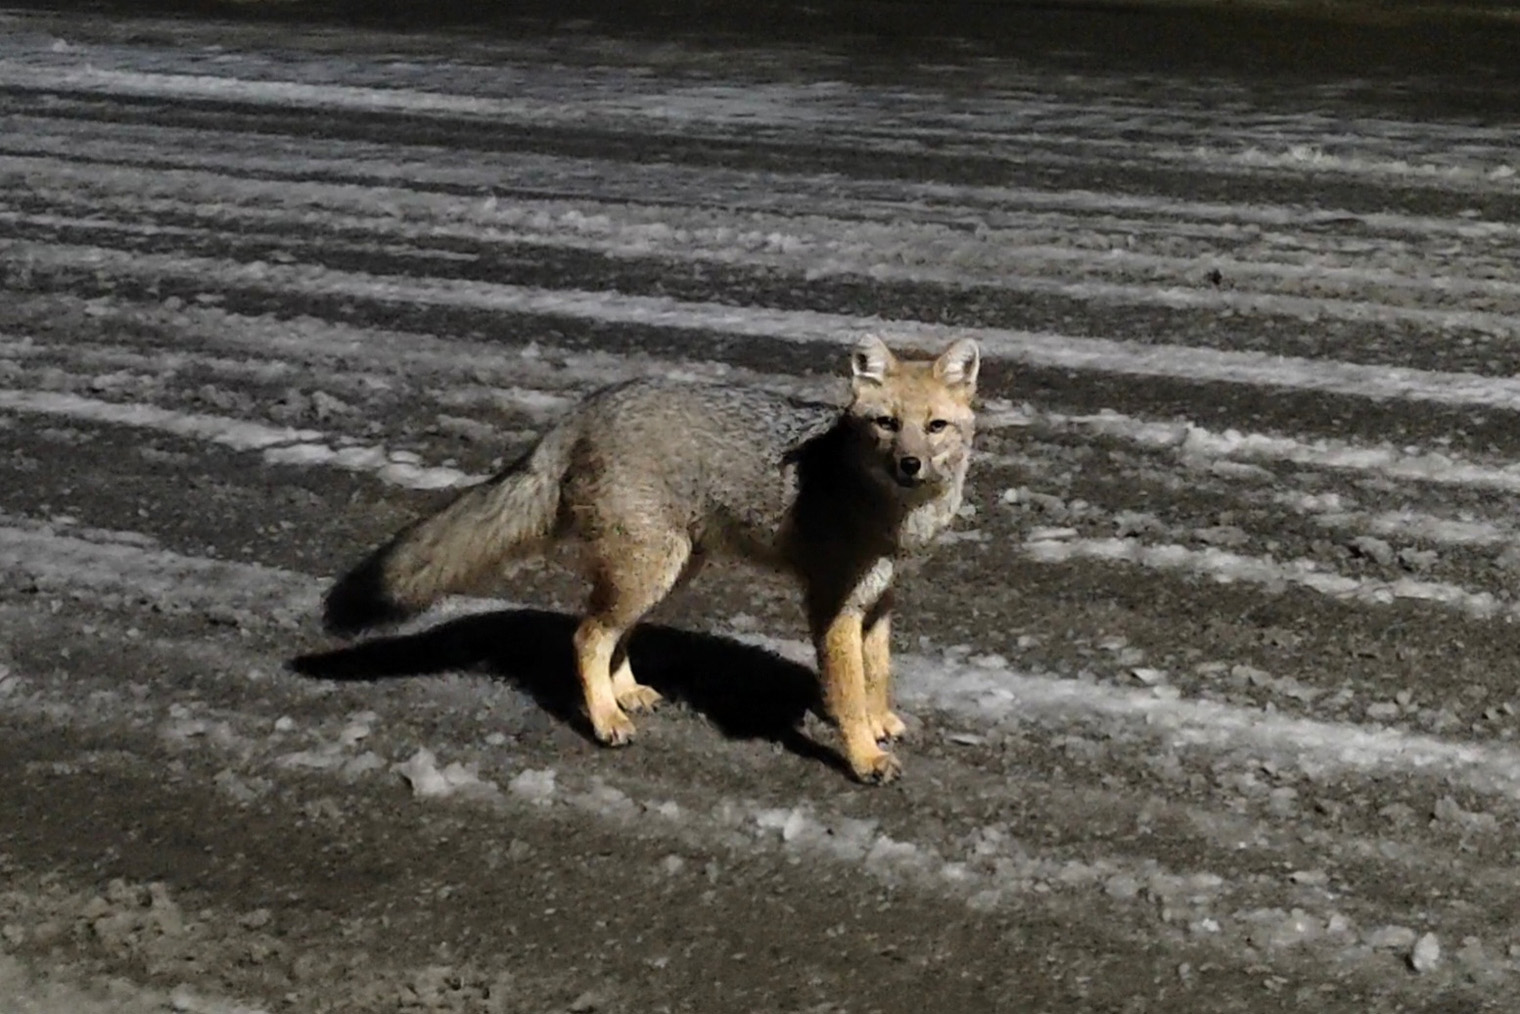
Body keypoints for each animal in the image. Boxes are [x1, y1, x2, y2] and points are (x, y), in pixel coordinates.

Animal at [325, 334, 978, 784]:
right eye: (886, 424)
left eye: (935, 427)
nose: (910, 465)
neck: (891, 516)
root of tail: (586, 407)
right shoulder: (832, 605)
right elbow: (846, 692)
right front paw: (864, 754)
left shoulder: (878, 599)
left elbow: (877, 672)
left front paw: (882, 722)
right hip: (651, 569)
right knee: (587, 635)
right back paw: (605, 720)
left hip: (667, 570)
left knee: (613, 634)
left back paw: (625, 694)